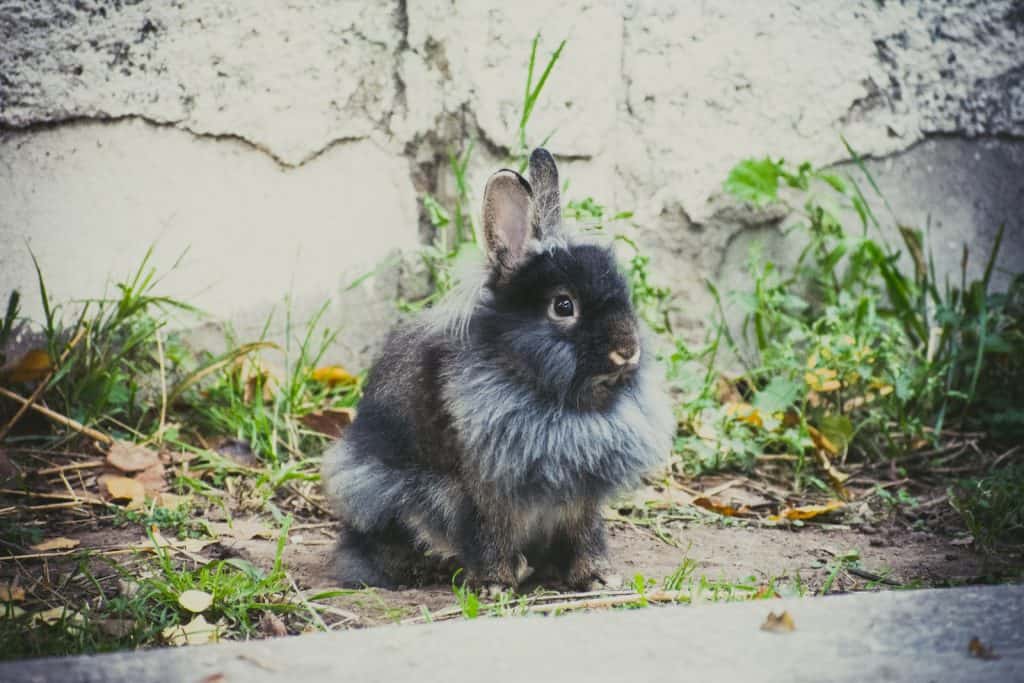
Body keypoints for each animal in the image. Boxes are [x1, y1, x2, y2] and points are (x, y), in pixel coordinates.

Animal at [319, 149, 671, 593]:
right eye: (563, 306)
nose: (627, 351)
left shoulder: (581, 500)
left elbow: (586, 535)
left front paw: (598, 577)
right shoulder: (483, 494)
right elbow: (490, 534)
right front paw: (495, 584)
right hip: (388, 495)